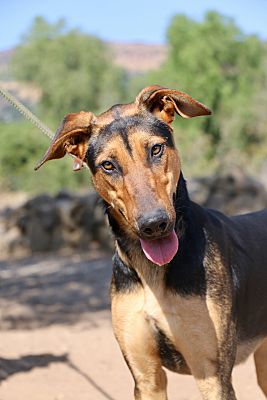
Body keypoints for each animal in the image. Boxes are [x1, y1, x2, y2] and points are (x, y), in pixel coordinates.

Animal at [35, 86, 267, 398]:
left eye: (156, 149)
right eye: (108, 165)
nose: (154, 225)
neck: (152, 274)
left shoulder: (213, 376)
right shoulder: (146, 377)